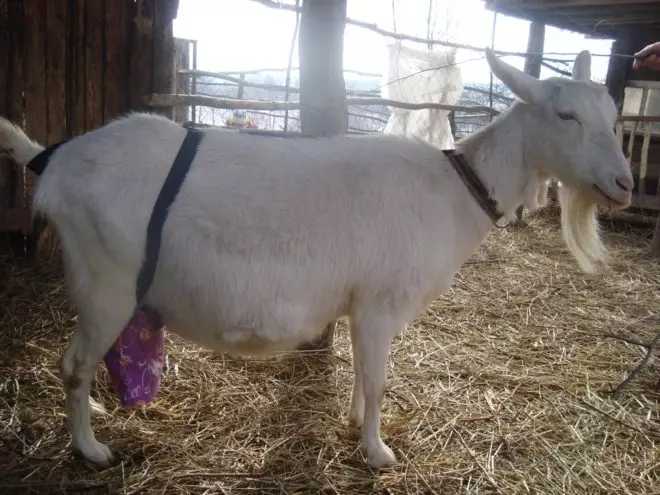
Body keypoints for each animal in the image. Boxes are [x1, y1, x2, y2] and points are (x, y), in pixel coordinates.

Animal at [0, 48, 632, 469]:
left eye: (614, 117)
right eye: (566, 117)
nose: (623, 184)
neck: (455, 191)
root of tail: (53, 160)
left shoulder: (360, 304)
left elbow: (362, 373)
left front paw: (353, 423)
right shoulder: (381, 303)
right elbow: (378, 380)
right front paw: (378, 452)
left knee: (77, 362)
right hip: (105, 281)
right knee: (72, 363)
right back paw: (91, 449)